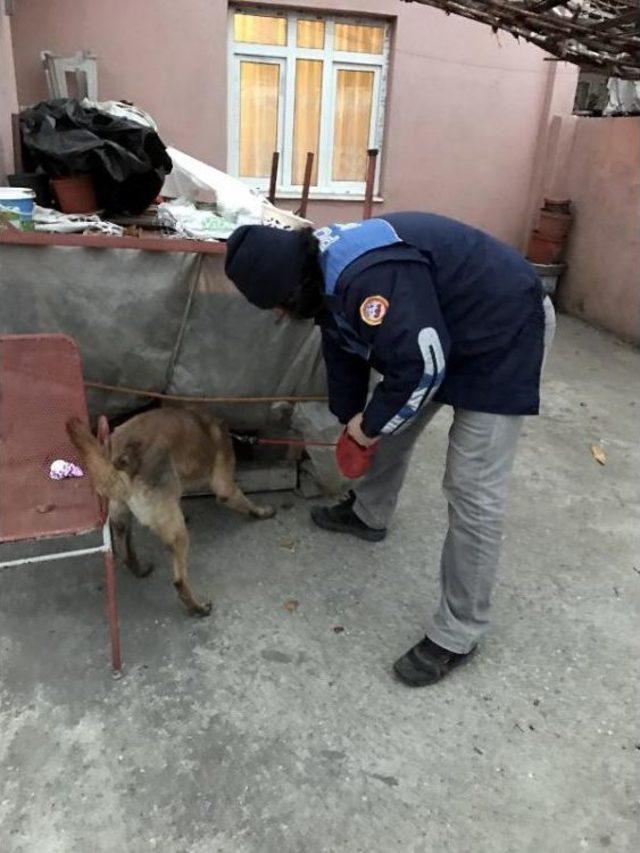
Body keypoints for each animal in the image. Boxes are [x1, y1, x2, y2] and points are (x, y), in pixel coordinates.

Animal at [67, 408, 276, 616]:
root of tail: (121, 458)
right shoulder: (225, 487)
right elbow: (244, 501)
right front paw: (261, 512)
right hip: (177, 534)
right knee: (179, 580)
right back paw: (197, 607)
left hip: (121, 513)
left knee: (124, 547)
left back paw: (139, 568)